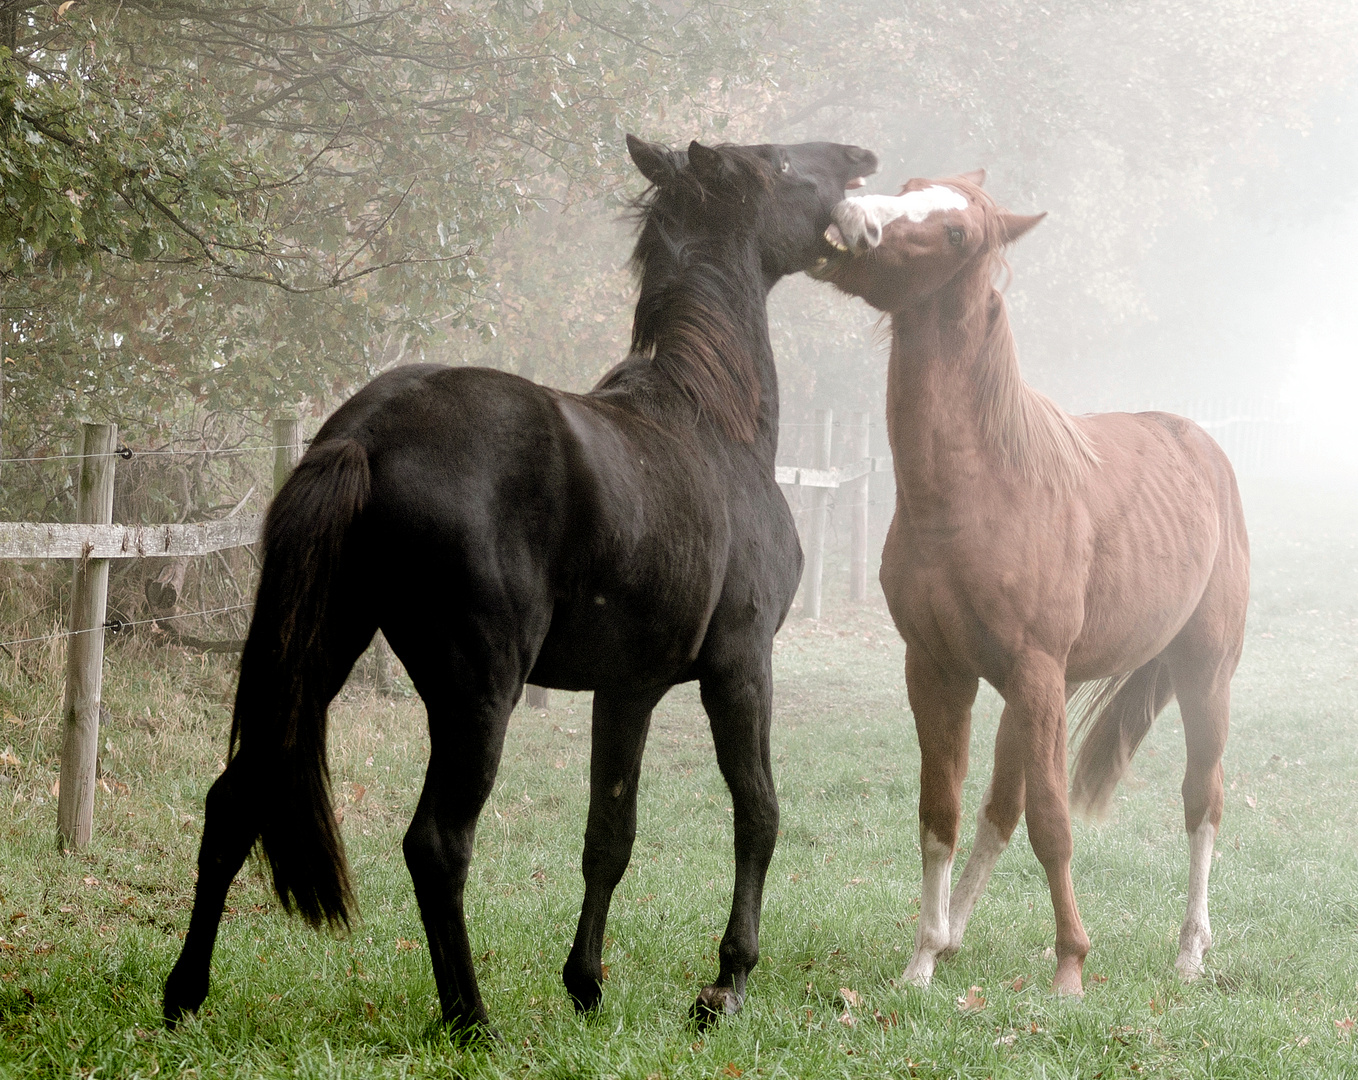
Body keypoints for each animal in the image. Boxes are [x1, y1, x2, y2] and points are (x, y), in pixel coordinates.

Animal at [161, 139, 879, 1032]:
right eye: (780, 163)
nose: (859, 157)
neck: (713, 422)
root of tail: (367, 432)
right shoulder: (741, 669)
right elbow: (759, 811)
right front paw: (726, 983)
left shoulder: (628, 690)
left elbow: (610, 834)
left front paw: (586, 982)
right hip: (479, 694)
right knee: (436, 843)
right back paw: (470, 1018)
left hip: (321, 656)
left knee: (233, 802)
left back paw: (185, 994)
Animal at [809, 173, 1243, 994]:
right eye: (908, 187)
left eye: (957, 233)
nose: (849, 216)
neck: (983, 489)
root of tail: (1201, 446)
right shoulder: (939, 670)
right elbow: (942, 813)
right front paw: (921, 961)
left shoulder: (1036, 674)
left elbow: (1052, 822)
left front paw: (1070, 966)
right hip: (1035, 690)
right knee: (997, 809)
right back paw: (953, 936)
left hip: (1202, 671)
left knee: (1201, 803)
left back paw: (1190, 952)